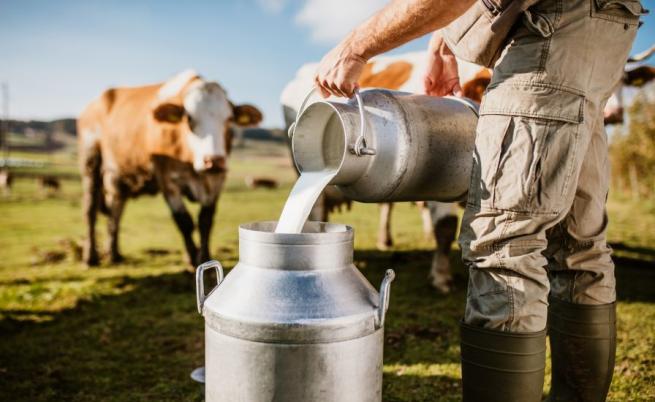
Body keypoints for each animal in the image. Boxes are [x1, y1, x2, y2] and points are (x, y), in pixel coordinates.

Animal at [77, 70, 262, 266]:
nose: (213, 160)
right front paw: (192, 258)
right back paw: (90, 257)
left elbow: (205, 220)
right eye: (189, 118)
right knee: (90, 210)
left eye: (229, 119)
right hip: (91, 162)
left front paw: (204, 257)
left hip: (118, 177)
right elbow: (184, 221)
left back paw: (114, 254)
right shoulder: (167, 180)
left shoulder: (217, 180)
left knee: (116, 211)